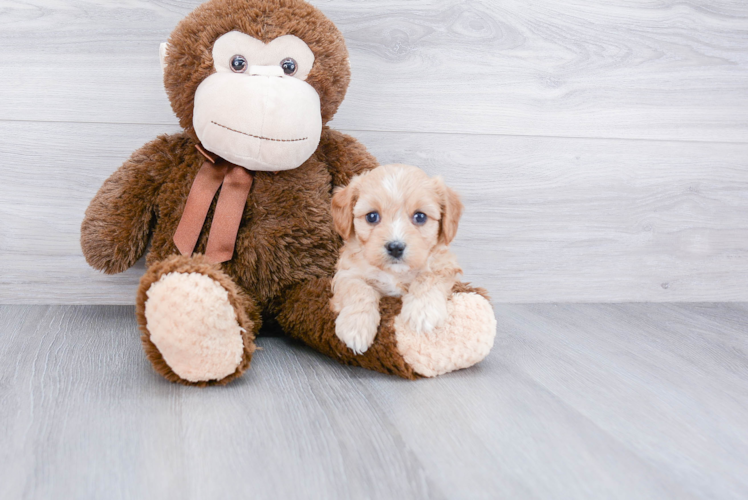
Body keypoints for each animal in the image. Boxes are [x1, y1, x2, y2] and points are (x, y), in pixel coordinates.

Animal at [332, 166, 462, 354]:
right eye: (372, 216)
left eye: (420, 217)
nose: (395, 247)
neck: (394, 273)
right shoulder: (347, 272)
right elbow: (358, 288)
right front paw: (356, 326)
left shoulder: (444, 264)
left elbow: (428, 277)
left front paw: (422, 311)